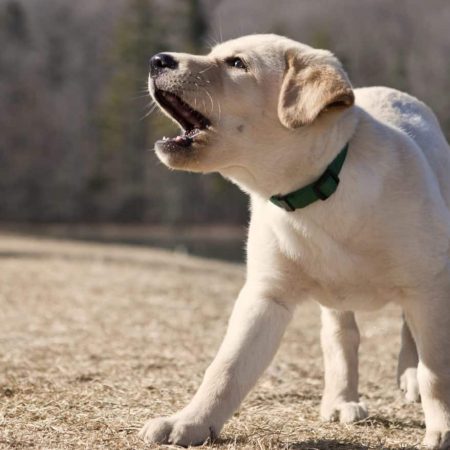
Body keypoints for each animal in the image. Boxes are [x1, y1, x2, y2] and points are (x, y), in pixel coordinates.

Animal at [141, 33, 450, 448]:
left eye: (237, 63)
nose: (157, 60)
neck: (319, 192)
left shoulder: (430, 283)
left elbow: (437, 369)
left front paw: (442, 426)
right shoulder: (265, 294)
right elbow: (227, 367)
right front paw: (190, 422)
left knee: (407, 330)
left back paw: (407, 375)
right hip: (337, 299)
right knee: (342, 338)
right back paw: (341, 401)